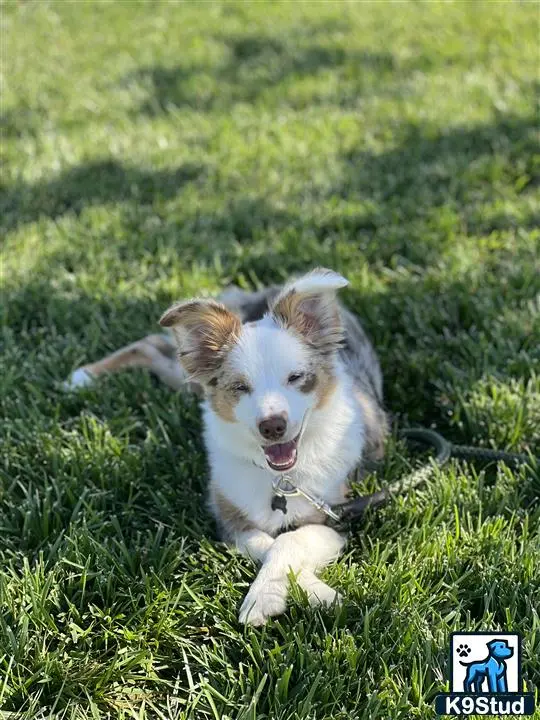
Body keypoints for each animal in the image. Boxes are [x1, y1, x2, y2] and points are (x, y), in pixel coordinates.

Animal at [66, 270, 388, 624]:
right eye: (240, 387)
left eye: (296, 377)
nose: (272, 426)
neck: (281, 479)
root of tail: (269, 290)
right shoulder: (229, 516)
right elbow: (268, 543)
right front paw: (304, 593)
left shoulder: (336, 516)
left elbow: (288, 540)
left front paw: (290, 595)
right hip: (190, 372)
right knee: (149, 344)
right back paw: (84, 376)